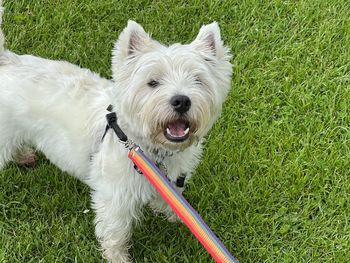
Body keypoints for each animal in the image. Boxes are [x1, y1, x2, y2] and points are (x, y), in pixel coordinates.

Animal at [0, 1, 232, 262]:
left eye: (198, 80)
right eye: (152, 82)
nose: (181, 101)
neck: (149, 149)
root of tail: (5, 59)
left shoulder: (174, 176)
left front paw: (175, 214)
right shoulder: (115, 197)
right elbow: (115, 231)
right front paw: (118, 257)